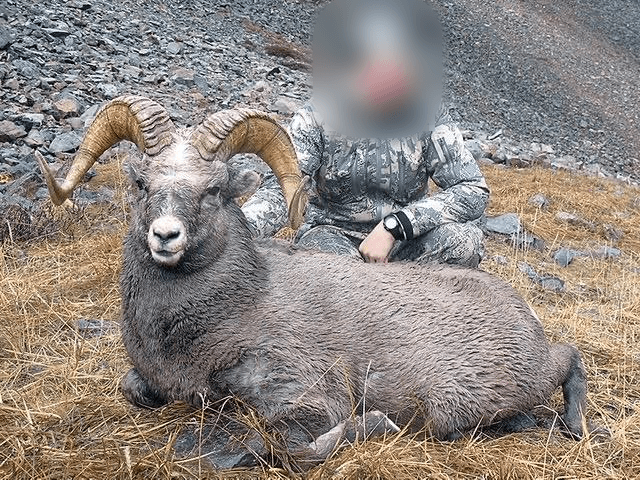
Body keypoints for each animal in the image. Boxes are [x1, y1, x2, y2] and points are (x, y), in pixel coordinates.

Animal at [37, 95, 591, 471]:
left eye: (215, 189)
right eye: (141, 183)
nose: (165, 236)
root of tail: (524, 315)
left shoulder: (306, 396)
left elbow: (289, 449)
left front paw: (376, 425)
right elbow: (133, 388)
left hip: (484, 393)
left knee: (568, 359)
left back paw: (575, 426)